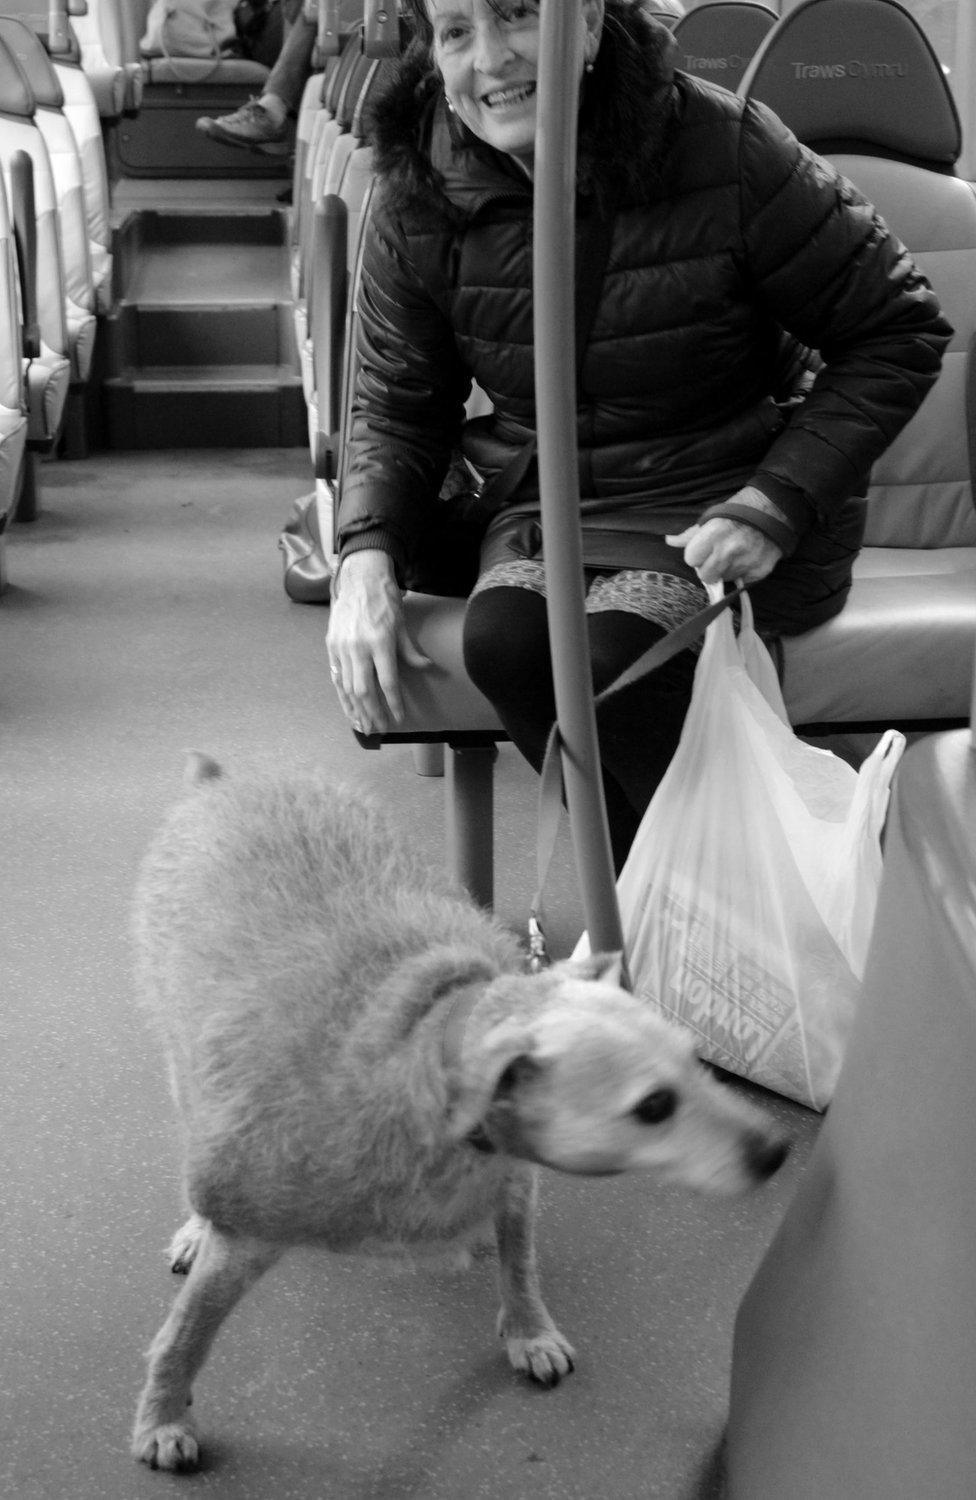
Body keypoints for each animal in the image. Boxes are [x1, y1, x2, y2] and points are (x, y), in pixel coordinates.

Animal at [129, 756, 791, 1470]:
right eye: (654, 1106)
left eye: (697, 1061)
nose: (778, 1150)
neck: (424, 1041)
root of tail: (228, 779)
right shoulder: (248, 1229)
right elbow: (185, 1335)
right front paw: (163, 1415)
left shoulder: (516, 1181)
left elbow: (520, 1261)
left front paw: (529, 1328)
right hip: (186, 1056)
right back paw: (194, 1226)